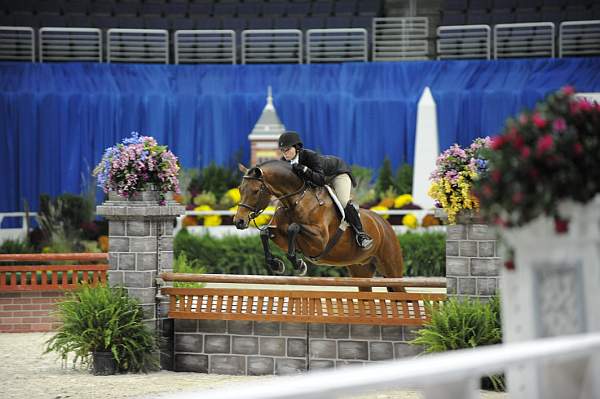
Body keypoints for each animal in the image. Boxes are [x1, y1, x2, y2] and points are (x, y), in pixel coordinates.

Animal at [232, 160, 406, 294]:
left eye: (255, 191)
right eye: (240, 189)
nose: (239, 221)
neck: (296, 200)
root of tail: (383, 223)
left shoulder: (320, 241)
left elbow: (293, 227)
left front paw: (299, 265)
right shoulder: (281, 235)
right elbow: (265, 232)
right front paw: (276, 264)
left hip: (392, 269)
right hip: (361, 270)